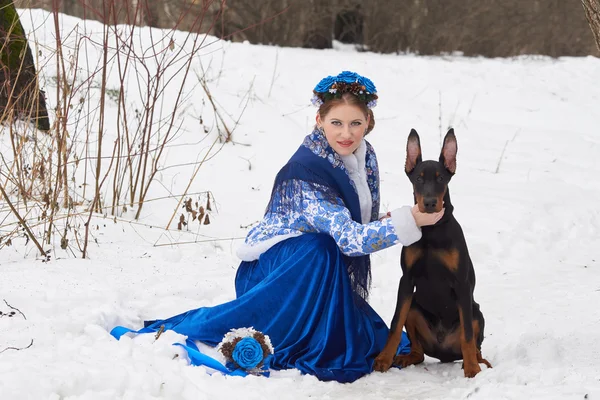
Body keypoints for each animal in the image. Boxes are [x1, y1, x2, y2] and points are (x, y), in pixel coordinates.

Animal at [376, 129, 492, 378]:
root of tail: (444, 354)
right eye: (418, 179)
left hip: (476, 310)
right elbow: (395, 323)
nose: (429, 203)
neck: (431, 230)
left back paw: (478, 362)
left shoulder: (461, 282)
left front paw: (472, 369)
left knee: (474, 343)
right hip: (414, 306)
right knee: (419, 353)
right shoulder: (407, 279)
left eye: (441, 179)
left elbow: (468, 334)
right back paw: (405, 357)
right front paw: (383, 359)